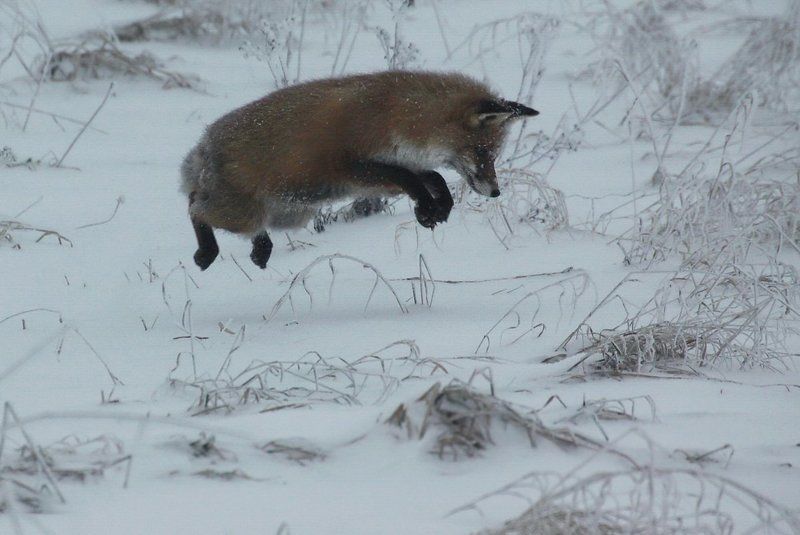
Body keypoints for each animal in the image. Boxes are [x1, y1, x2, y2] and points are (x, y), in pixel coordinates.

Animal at [180, 70, 539, 270]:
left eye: (494, 155)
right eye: (482, 152)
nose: (495, 191)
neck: (397, 116)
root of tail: (204, 142)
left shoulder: (389, 171)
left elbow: (432, 178)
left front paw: (437, 210)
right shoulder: (352, 168)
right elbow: (411, 178)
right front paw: (426, 210)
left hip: (288, 214)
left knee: (239, 224)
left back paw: (259, 252)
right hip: (244, 214)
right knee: (195, 207)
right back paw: (206, 253)